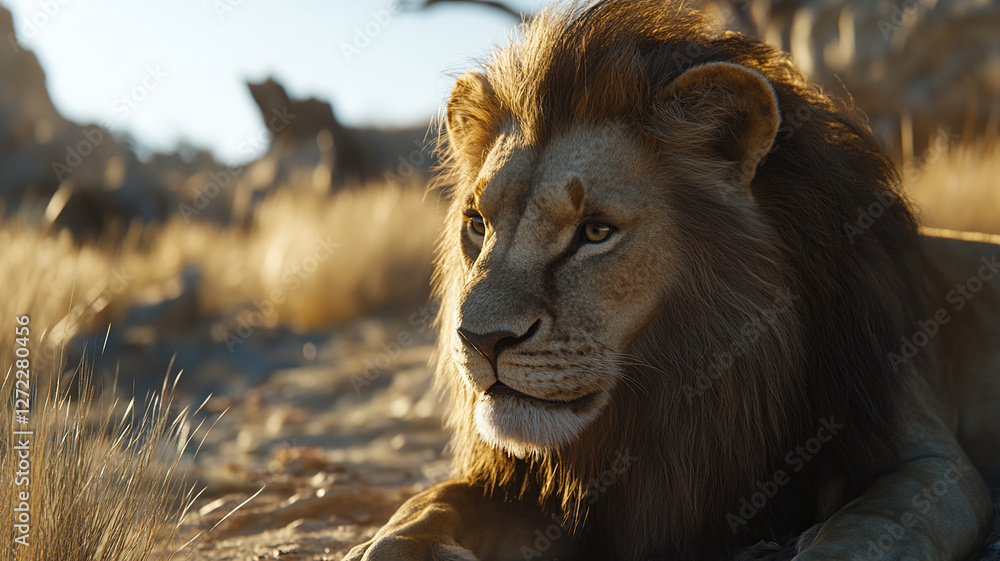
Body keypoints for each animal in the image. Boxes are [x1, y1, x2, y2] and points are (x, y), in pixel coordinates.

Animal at [345, 1, 1000, 559]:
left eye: (596, 232)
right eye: (477, 225)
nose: (479, 341)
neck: (679, 385)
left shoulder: (926, 458)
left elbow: (864, 530)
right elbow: (425, 507)